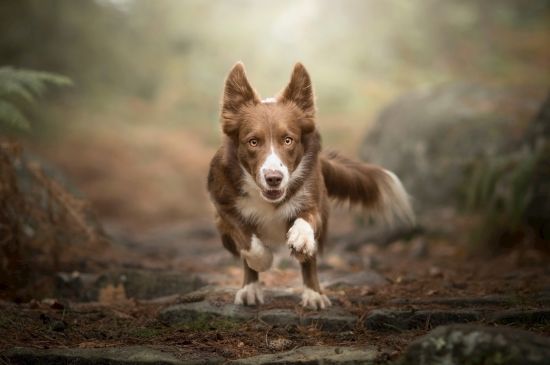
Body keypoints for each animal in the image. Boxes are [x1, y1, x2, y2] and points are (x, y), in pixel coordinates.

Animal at [209, 64, 416, 308]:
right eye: (253, 142)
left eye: (288, 140)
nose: (274, 178)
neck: (268, 200)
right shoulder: (223, 206)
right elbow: (246, 238)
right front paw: (263, 260)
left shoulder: (314, 200)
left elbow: (306, 219)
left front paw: (301, 239)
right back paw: (250, 289)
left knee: (310, 261)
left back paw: (313, 293)